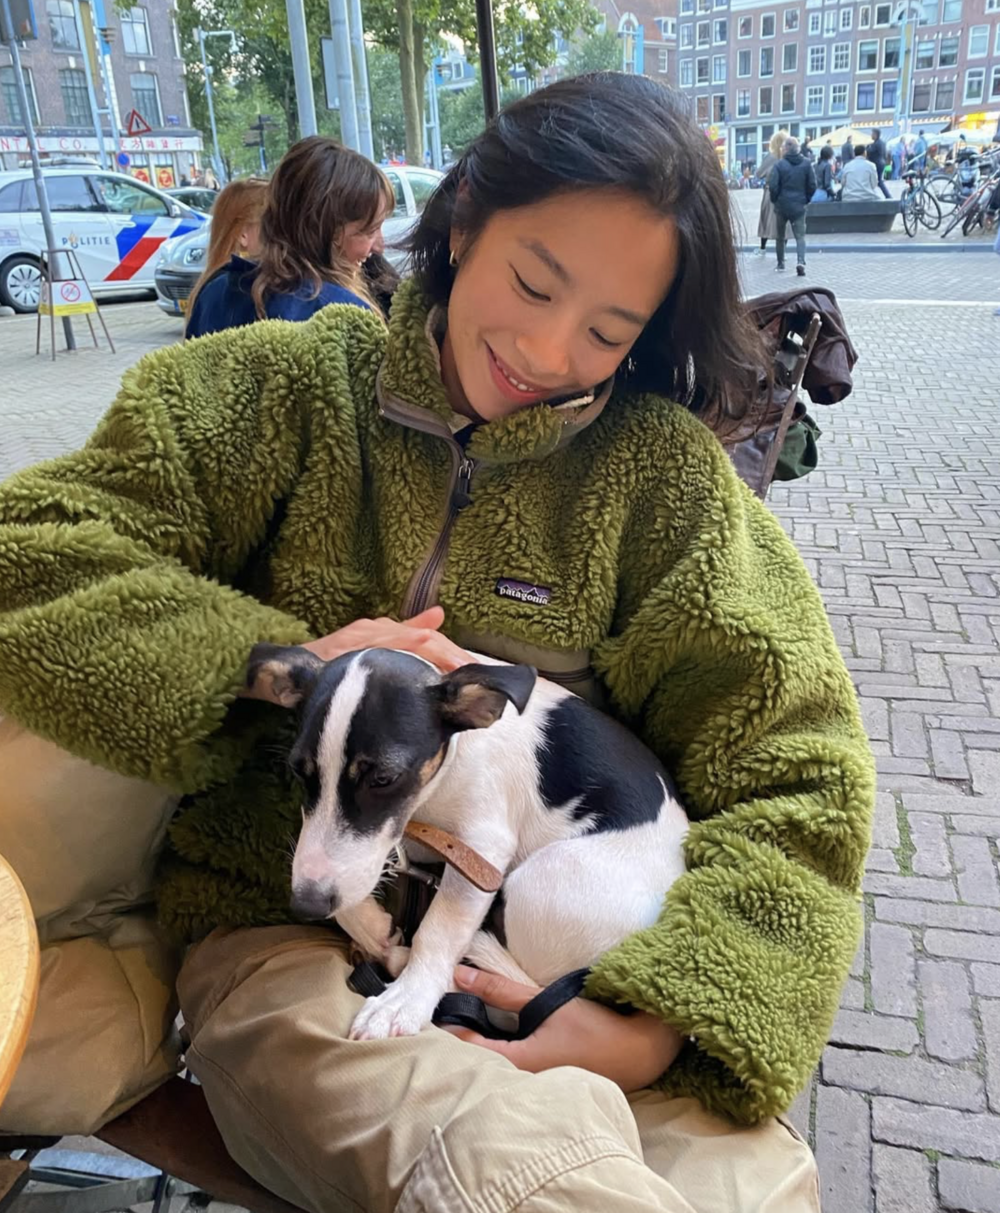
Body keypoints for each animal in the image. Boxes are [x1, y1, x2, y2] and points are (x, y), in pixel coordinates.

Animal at [246, 643, 689, 1041]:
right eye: (298, 771)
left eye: (384, 779)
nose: (305, 905)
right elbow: (350, 877)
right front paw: (370, 925)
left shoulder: (480, 850)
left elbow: (438, 928)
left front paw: (407, 997)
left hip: (542, 881)